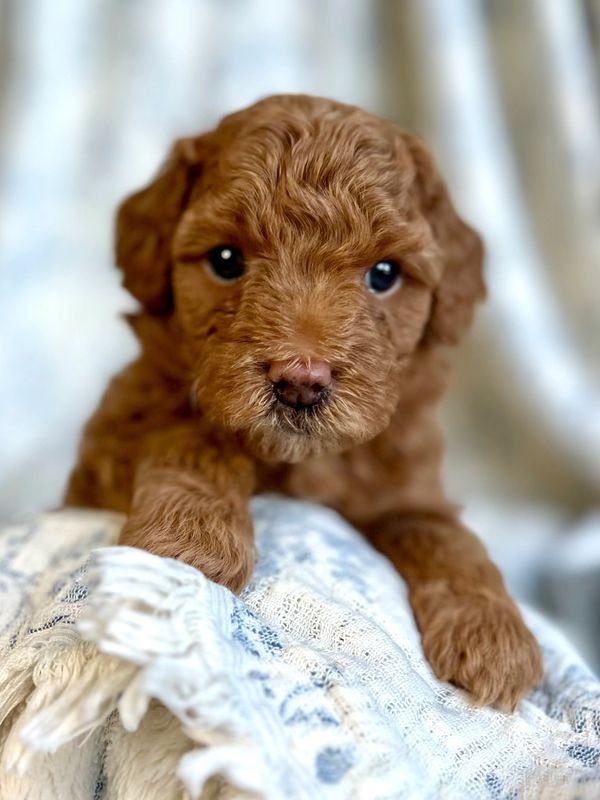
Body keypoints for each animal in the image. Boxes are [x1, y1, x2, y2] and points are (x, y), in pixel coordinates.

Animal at [65, 95, 544, 712]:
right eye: (225, 260)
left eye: (384, 275)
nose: (301, 380)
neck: (299, 463)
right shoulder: (105, 453)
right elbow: (196, 437)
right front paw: (188, 544)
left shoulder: (409, 492)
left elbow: (446, 538)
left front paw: (494, 636)